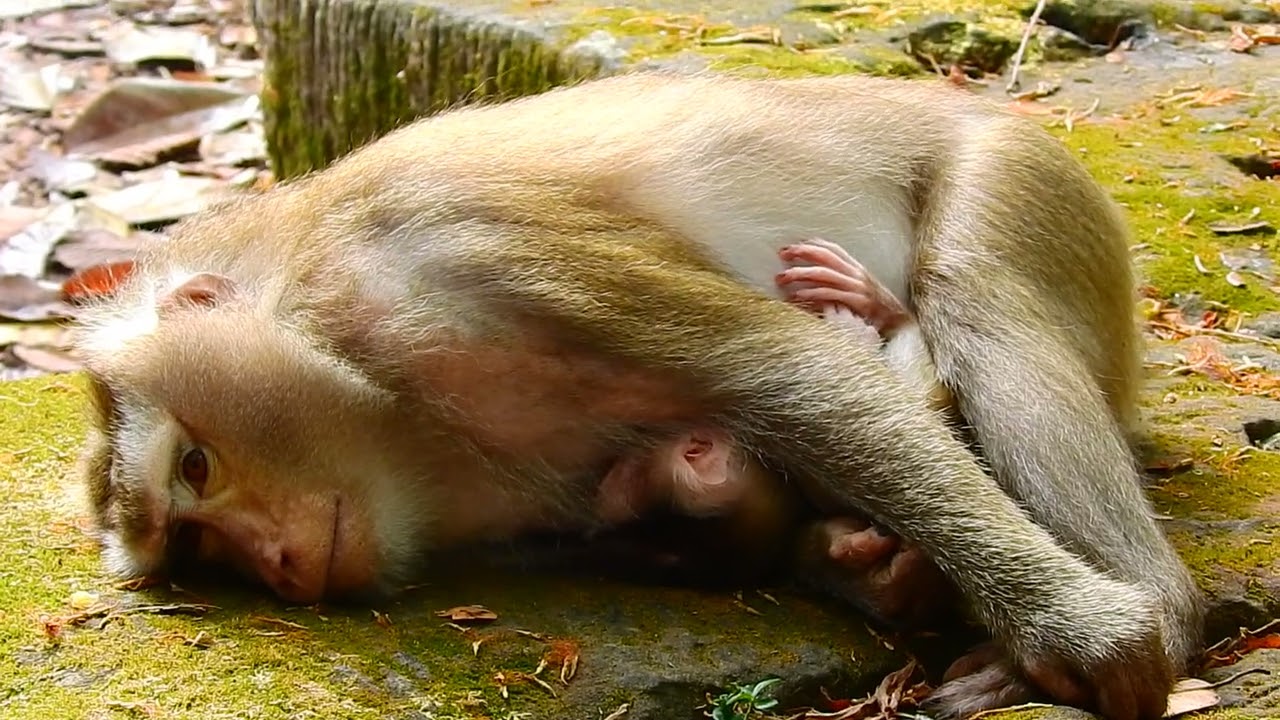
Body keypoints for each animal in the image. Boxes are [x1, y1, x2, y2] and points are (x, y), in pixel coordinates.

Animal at [75, 73, 1204, 720]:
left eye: (196, 464)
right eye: (197, 548)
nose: (269, 558)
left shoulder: (454, 243)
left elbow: (782, 373)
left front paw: (1080, 633)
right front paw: (857, 566)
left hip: (1022, 175)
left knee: (978, 293)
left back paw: (1150, 605)